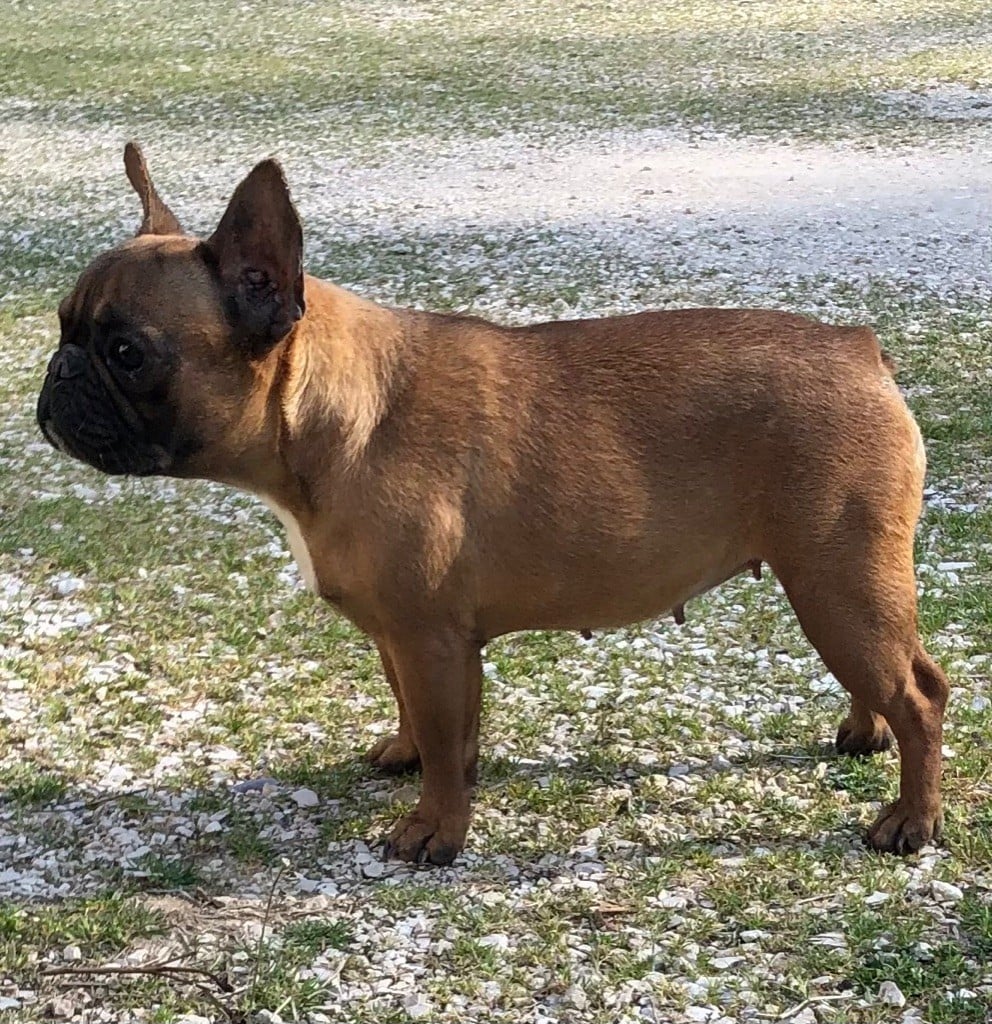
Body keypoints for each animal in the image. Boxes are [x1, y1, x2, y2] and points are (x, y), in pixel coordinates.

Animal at [36, 143, 949, 865]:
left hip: (838, 584)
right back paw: (863, 736)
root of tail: (860, 352)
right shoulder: (404, 638)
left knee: (920, 695)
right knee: (883, 682)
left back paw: (910, 819)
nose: (58, 372)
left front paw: (433, 831)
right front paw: (411, 761)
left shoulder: (431, 638)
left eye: (127, 352)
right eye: (62, 326)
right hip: (835, 591)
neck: (329, 417)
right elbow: (421, 717)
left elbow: (447, 743)